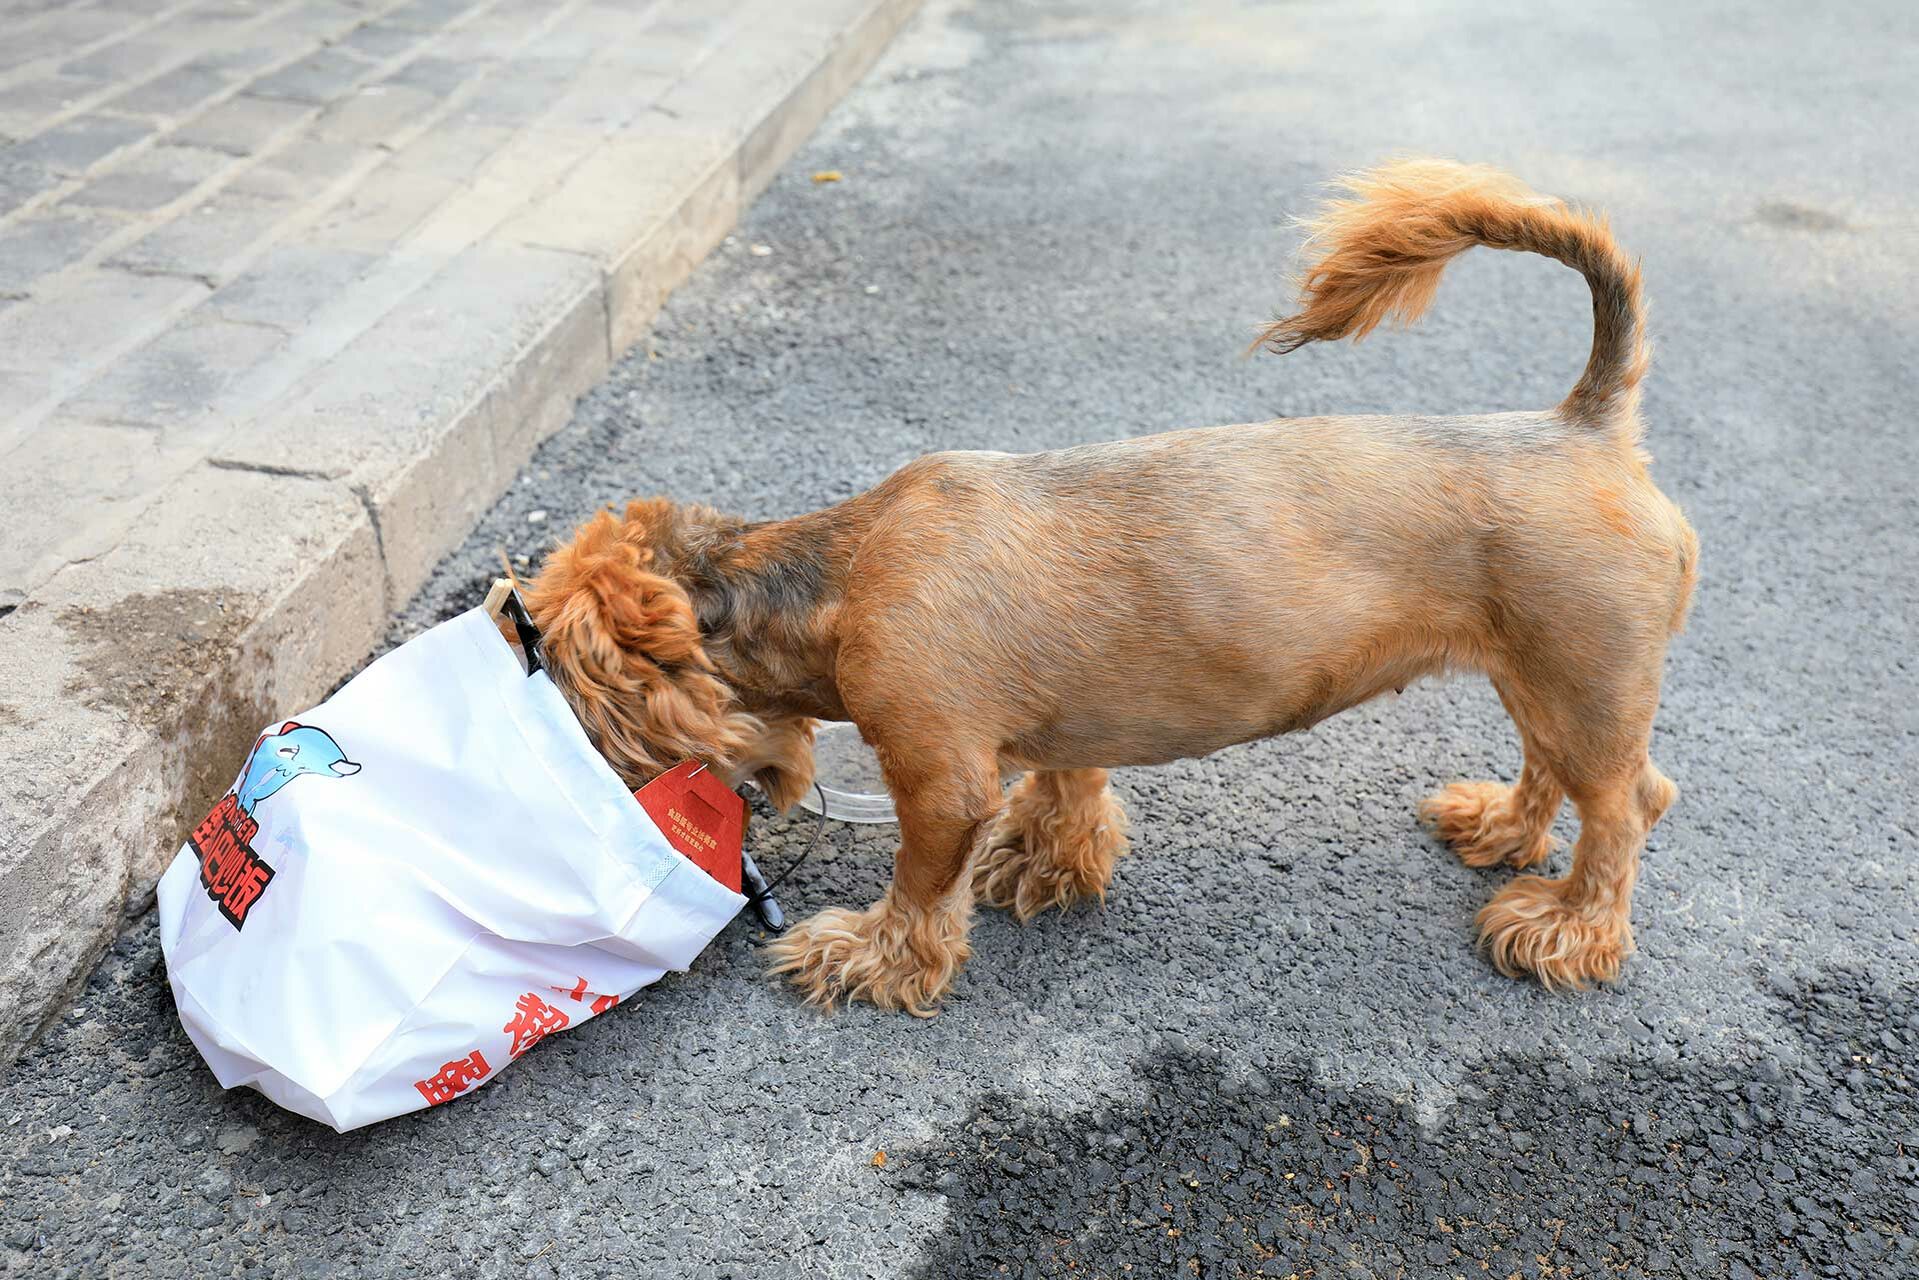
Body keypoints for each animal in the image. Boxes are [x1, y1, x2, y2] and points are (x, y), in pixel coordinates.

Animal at [521, 160, 1696, 1013]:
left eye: (575, 692)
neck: (838, 575)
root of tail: (1586, 426)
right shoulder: (1057, 721)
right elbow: (1066, 784)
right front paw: (1049, 857)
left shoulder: (937, 779)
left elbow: (918, 884)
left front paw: (873, 956)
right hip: (1540, 672)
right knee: (1549, 772)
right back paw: (1501, 831)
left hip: (1584, 677)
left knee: (1623, 806)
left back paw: (1571, 927)